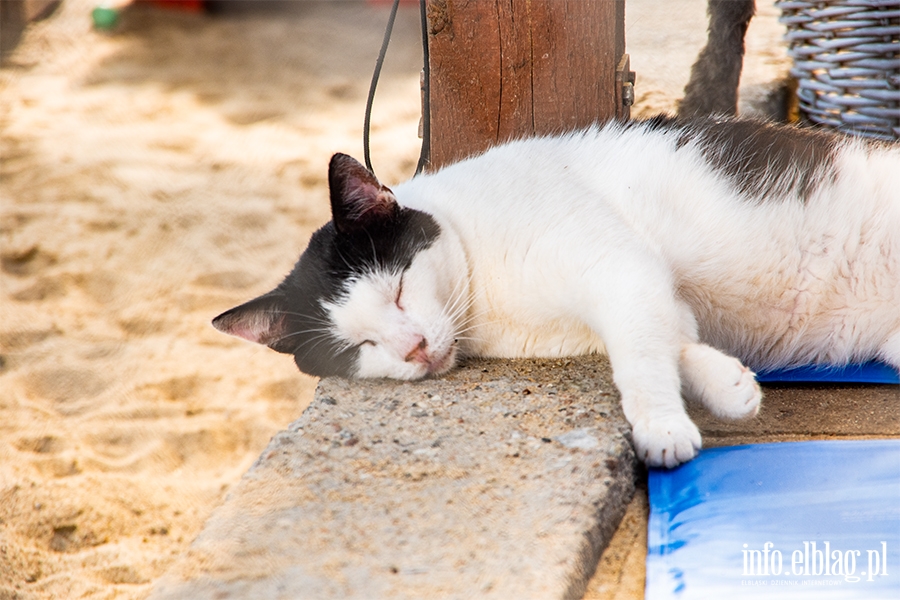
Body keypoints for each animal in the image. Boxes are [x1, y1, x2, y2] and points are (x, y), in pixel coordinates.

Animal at [213, 115, 900, 466]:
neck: (486, 304)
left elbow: (639, 356)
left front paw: (661, 427)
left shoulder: (618, 267)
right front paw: (728, 386)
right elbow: (669, 338)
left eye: (400, 289)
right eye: (358, 346)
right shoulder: (643, 291)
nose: (413, 349)